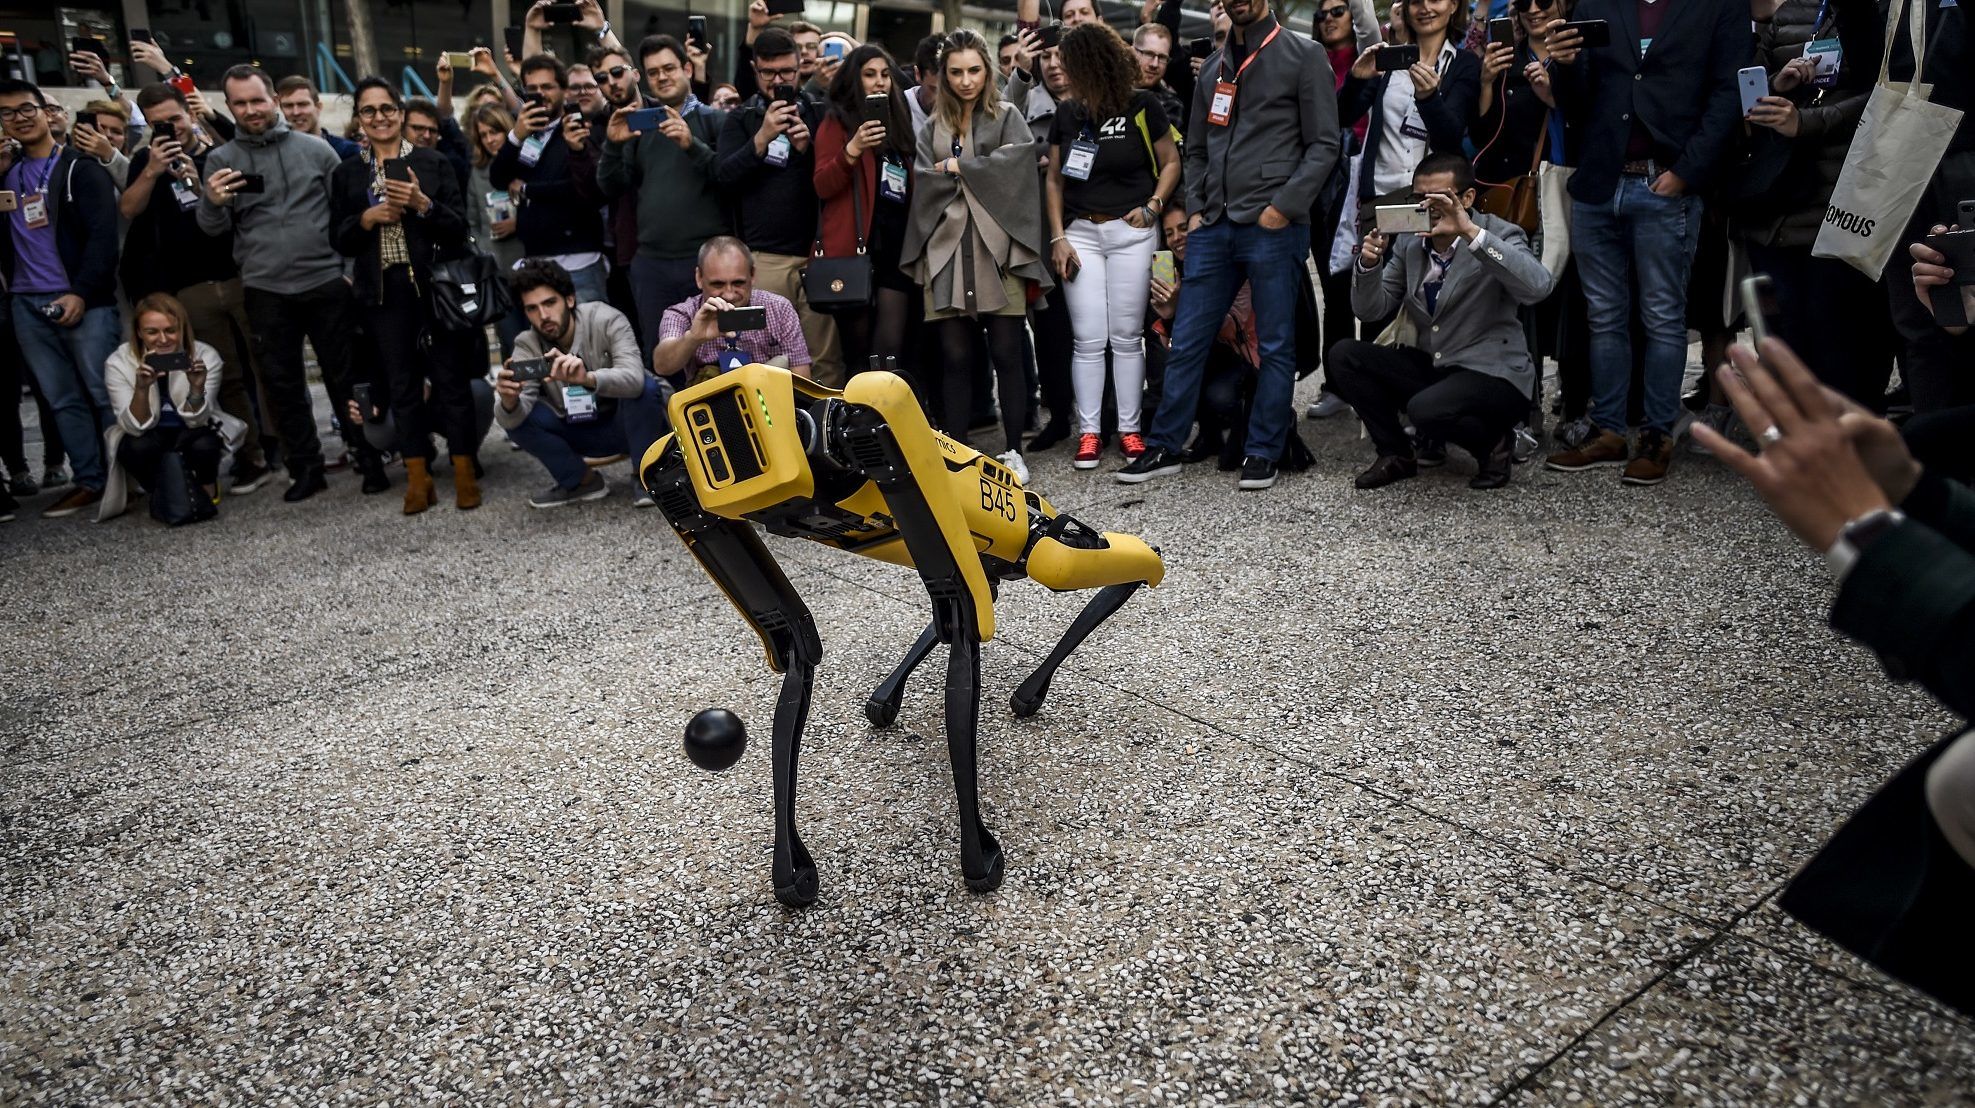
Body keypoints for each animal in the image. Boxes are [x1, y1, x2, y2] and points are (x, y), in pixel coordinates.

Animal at [635, 365, 1153, 908]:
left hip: (1033, 548)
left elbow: (963, 628)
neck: (821, 425)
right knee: (1020, 575)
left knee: (1071, 558)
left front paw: (979, 853)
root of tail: (1039, 511)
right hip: (1000, 554)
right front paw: (792, 865)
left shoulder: (883, 422)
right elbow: (800, 647)